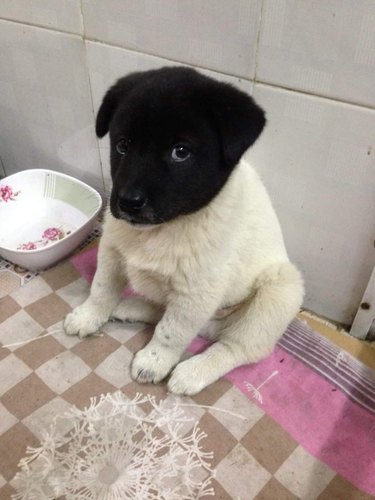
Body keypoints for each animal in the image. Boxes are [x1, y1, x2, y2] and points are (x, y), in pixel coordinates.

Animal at [64, 67, 306, 394]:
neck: (164, 228)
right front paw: (89, 315)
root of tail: (217, 324)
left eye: (180, 152)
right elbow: (101, 288)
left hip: (279, 292)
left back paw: (194, 371)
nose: (128, 202)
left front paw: (154, 361)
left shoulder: (197, 290)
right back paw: (130, 306)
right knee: (166, 311)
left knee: (238, 346)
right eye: (122, 144)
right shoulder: (112, 251)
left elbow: (171, 331)